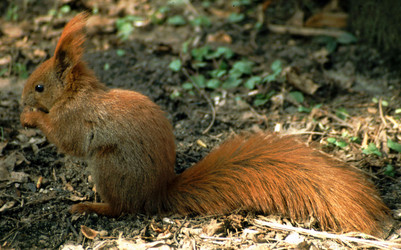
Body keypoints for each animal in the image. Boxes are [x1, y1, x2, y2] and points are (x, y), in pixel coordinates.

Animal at [19, 12, 390, 236]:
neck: (76, 94)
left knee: (122, 208)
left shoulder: (74, 119)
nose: (22, 98)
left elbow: (65, 140)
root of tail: (157, 193)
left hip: (110, 166)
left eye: (39, 87)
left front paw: (31, 118)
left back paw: (88, 205)